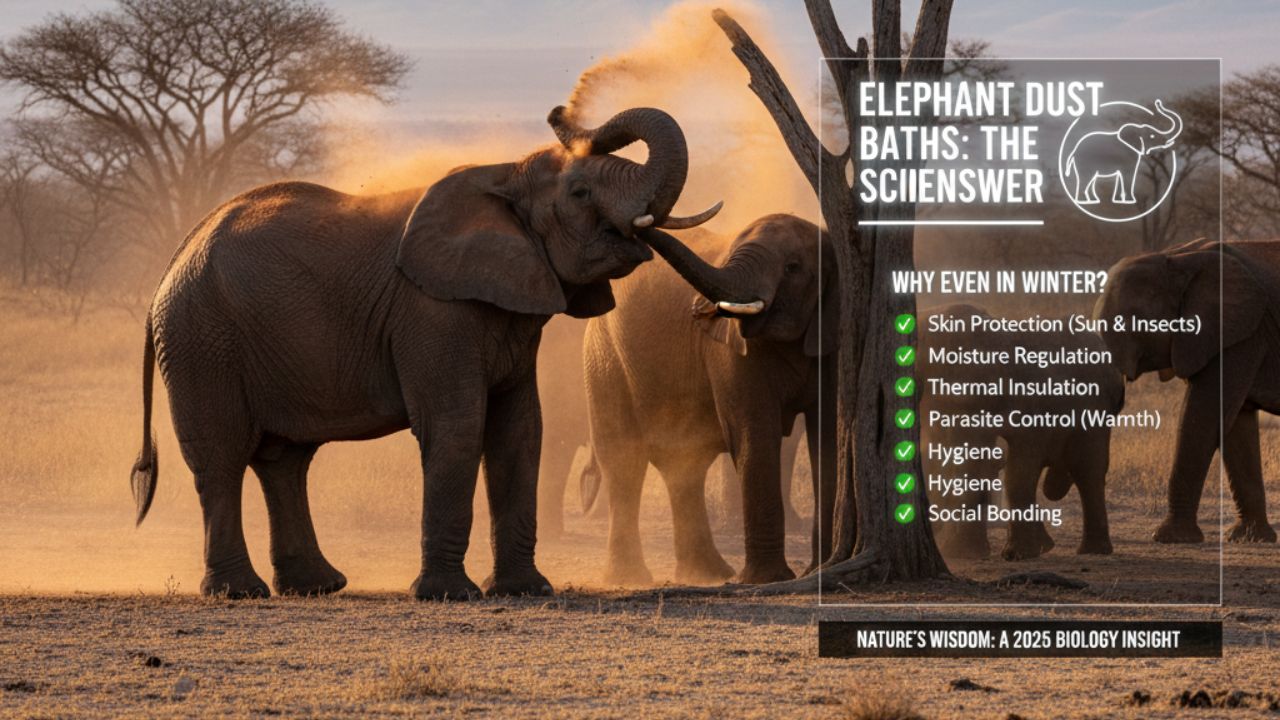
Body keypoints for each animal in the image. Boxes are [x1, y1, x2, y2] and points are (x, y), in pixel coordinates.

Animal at [128, 106, 723, 600]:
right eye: (579, 193)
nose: (560, 110)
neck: (505, 177)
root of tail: (170, 264)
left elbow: (520, 430)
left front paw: (527, 590)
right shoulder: (433, 310)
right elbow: (456, 425)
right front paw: (449, 595)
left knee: (285, 460)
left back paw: (318, 586)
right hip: (202, 339)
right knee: (222, 456)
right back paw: (240, 592)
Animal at [583, 214, 837, 585]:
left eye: (792, 267)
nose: (639, 220)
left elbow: (832, 436)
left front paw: (815, 571)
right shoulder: (729, 349)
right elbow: (754, 434)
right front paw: (769, 579)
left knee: (684, 463)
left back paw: (707, 573)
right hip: (603, 356)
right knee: (623, 459)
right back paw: (629, 578)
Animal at [1095, 238, 1280, 544]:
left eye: (1132, 320)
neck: (1178, 257)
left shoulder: (1241, 336)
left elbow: (1203, 417)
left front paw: (1169, 537)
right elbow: (1235, 427)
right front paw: (1250, 537)